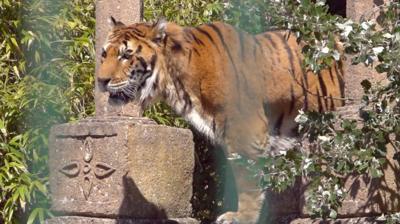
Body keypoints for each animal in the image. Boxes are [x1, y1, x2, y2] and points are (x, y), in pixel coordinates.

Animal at [98, 16, 346, 223]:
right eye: (104, 54)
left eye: (126, 55)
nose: (100, 81)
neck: (176, 81)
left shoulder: (245, 132)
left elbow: (246, 182)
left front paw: (241, 217)